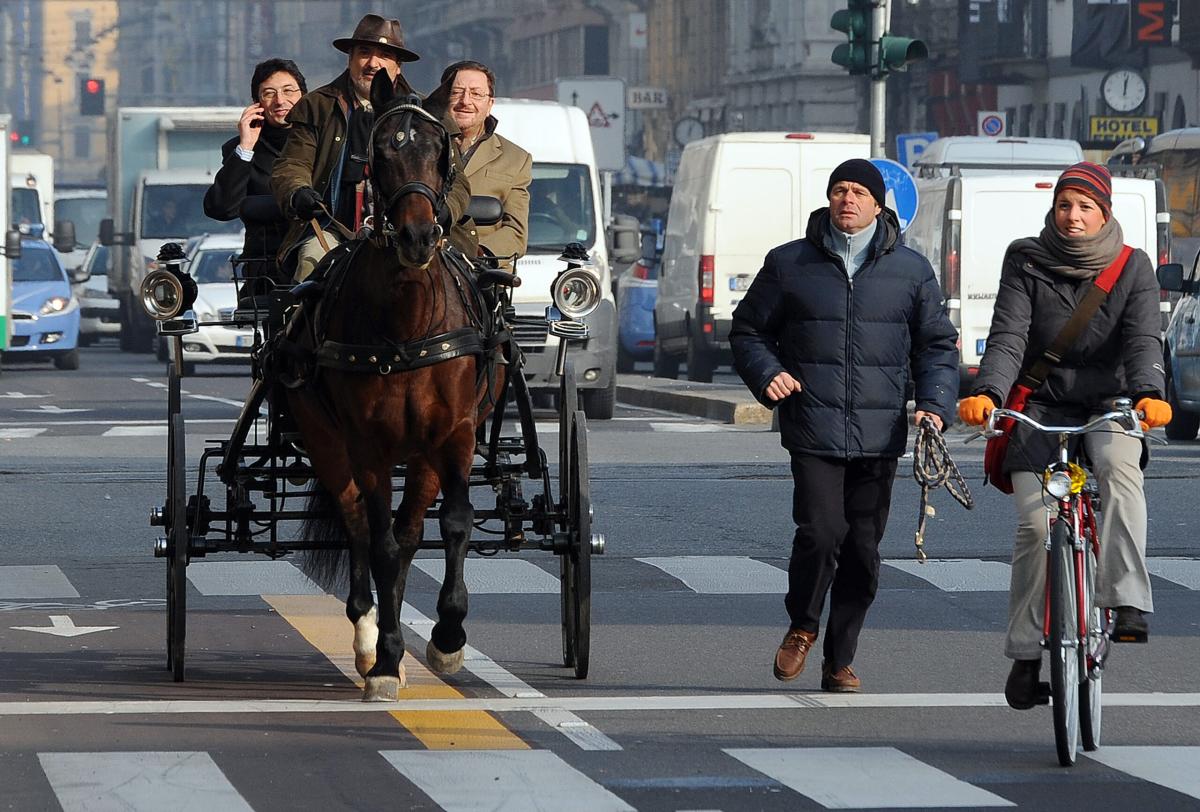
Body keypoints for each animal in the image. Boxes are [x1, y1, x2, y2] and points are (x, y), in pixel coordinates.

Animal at [292, 72, 499, 700]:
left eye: (440, 151)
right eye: (380, 152)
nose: (417, 236)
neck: (407, 321)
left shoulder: (455, 435)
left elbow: (453, 523)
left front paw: (448, 637)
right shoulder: (368, 444)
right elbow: (377, 539)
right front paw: (384, 657)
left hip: (428, 452)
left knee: (410, 531)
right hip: (326, 439)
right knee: (360, 523)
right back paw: (366, 637)